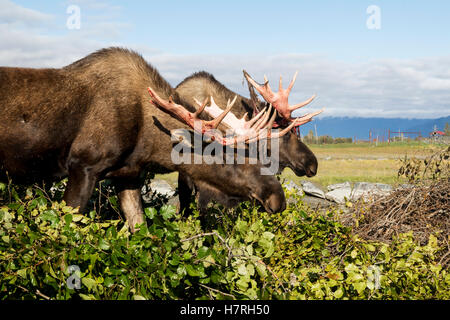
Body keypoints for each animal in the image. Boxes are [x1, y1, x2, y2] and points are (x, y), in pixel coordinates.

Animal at [0, 47, 306, 231]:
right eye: (233, 158)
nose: (277, 198)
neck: (147, 143)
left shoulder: (127, 176)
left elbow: (140, 228)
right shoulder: (82, 167)